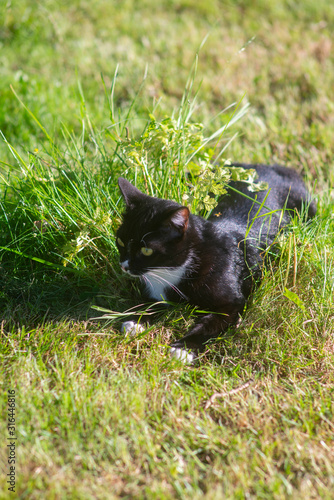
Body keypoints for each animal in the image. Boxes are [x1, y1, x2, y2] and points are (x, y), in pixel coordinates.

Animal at [115, 165, 316, 364]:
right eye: (120, 241)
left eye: (146, 250)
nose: (124, 265)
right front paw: (137, 321)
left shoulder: (233, 303)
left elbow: (211, 324)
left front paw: (183, 349)